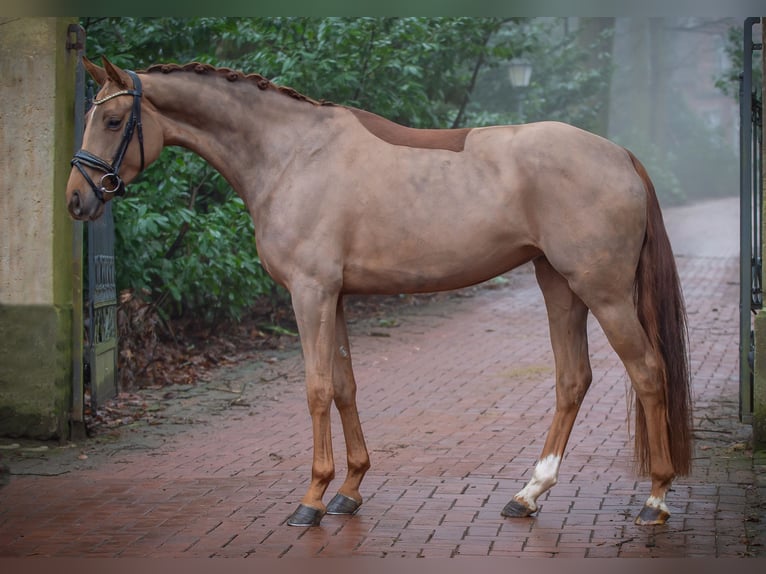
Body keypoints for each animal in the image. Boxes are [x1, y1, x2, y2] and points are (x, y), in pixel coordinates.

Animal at [66, 57, 692, 528]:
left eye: (115, 119)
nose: (77, 198)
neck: (290, 154)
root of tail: (620, 155)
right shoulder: (336, 296)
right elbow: (345, 386)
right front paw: (350, 490)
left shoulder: (311, 293)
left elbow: (318, 388)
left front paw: (312, 500)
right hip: (558, 284)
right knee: (572, 379)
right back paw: (528, 494)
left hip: (603, 293)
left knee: (647, 372)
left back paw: (656, 499)